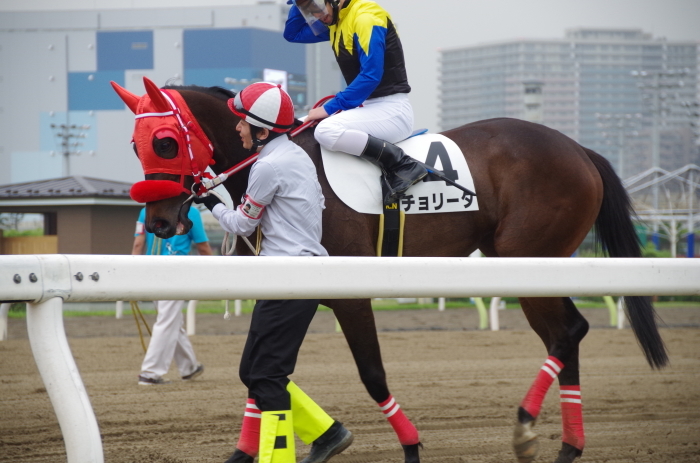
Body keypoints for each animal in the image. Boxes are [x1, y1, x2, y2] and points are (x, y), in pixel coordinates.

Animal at [110, 79, 668, 463]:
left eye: (164, 141)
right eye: (136, 145)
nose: (159, 222)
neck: (273, 155)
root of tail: (580, 150)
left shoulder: (348, 292)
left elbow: (369, 373)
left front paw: (411, 446)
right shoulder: (287, 286)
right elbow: (261, 373)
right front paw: (262, 448)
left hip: (527, 258)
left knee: (570, 330)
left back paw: (527, 425)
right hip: (523, 265)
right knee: (566, 332)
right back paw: (566, 445)